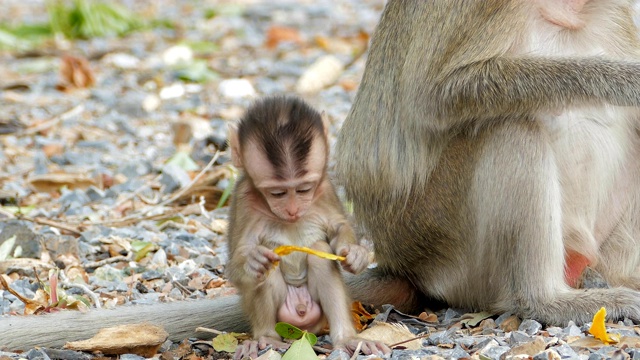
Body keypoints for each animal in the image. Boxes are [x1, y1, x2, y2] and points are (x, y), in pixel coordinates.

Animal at [226, 96, 390, 360]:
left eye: (304, 188)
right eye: (277, 193)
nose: (293, 210)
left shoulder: (325, 189)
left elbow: (338, 227)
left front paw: (356, 253)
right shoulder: (243, 200)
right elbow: (239, 258)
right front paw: (252, 260)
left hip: (317, 315)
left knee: (320, 254)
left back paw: (348, 339)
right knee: (269, 269)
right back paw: (266, 338)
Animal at [340, 0, 640, 324]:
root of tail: (402, 269)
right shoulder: (474, 10)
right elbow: (433, 96)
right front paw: (623, 80)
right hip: (442, 243)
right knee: (511, 126)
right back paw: (545, 301)